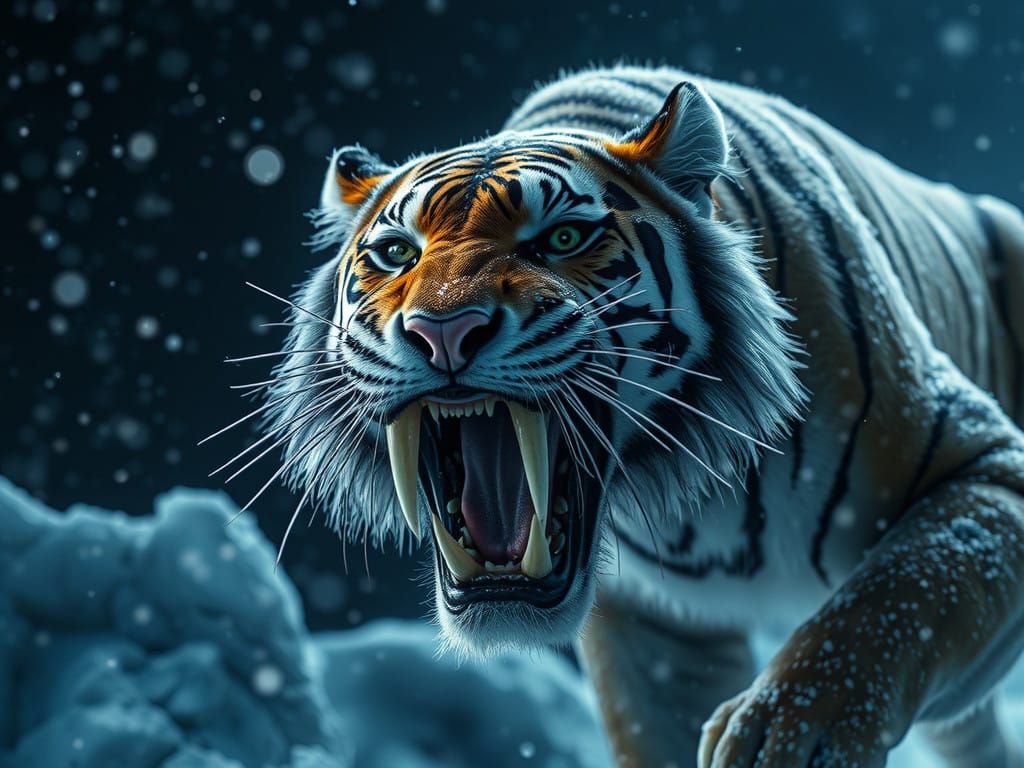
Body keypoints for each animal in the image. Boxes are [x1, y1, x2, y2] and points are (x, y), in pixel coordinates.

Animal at [242, 65, 1024, 766]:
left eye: (562, 239)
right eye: (396, 252)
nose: (442, 330)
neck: (698, 495)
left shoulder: (989, 472)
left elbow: (892, 598)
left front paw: (788, 733)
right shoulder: (653, 631)